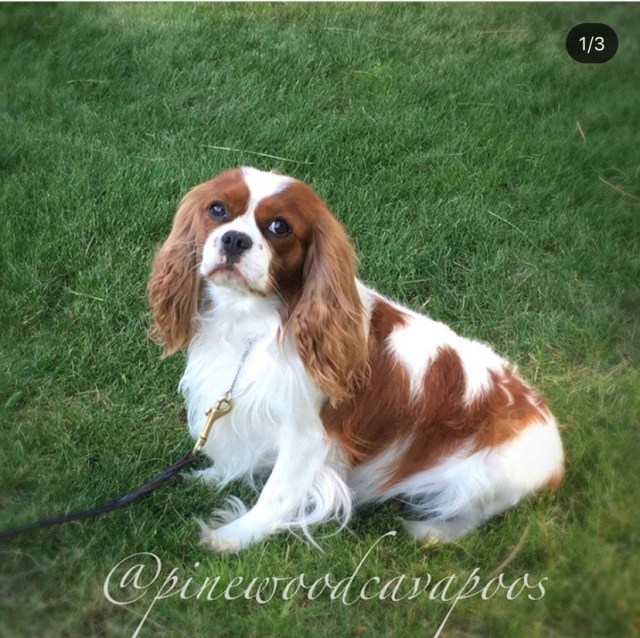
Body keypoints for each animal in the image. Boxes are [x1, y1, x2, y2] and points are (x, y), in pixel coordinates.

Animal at [148, 167, 564, 552]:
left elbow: (277, 493)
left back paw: (433, 531)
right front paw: (212, 475)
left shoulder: (306, 436)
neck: (253, 324)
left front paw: (235, 535)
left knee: (474, 513)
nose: (235, 238)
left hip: (487, 477)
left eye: (280, 227)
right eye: (216, 209)